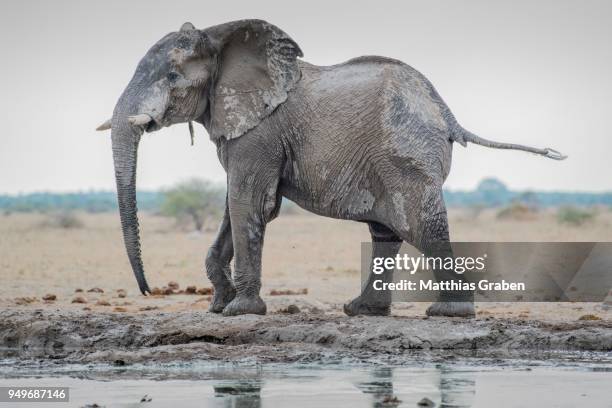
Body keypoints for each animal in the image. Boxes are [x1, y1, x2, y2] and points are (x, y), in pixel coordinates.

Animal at [98, 19, 568, 318]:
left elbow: (250, 203)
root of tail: (446, 113)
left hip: (407, 155)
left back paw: (448, 313)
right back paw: (362, 311)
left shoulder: (261, 132)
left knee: (423, 226)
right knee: (385, 232)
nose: (148, 290)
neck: (221, 37)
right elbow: (238, 206)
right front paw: (219, 307)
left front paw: (240, 312)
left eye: (173, 77)